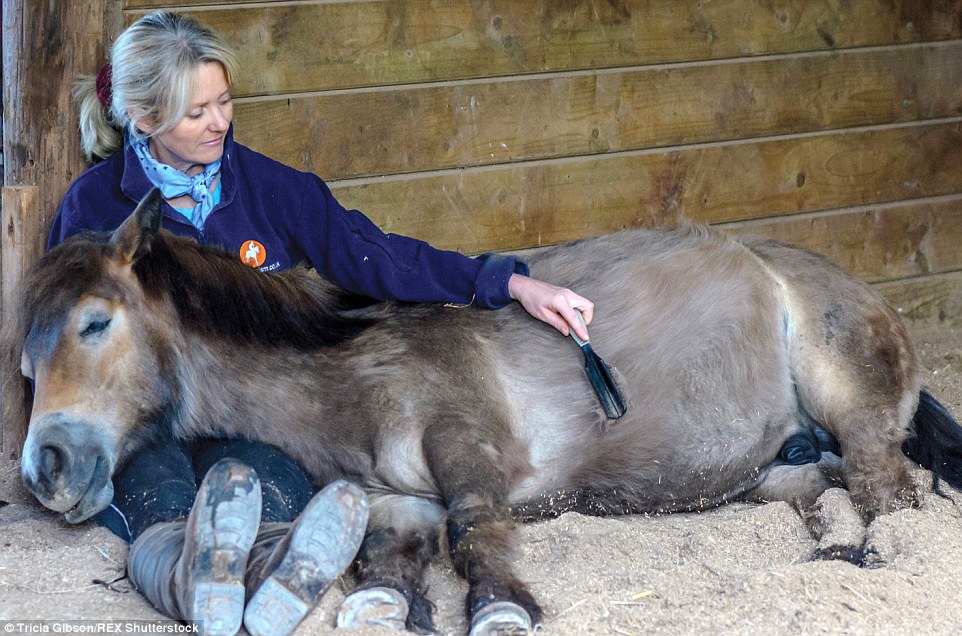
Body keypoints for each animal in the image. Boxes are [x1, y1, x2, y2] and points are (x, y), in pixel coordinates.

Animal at [13, 190, 960, 636]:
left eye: (95, 323)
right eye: (25, 356)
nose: (45, 469)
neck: (353, 368)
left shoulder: (468, 449)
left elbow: (475, 534)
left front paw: (501, 604)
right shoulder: (393, 498)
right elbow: (383, 558)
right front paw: (382, 601)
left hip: (853, 407)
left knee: (888, 491)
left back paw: (879, 551)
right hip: (771, 471)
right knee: (825, 489)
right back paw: (828, 544)